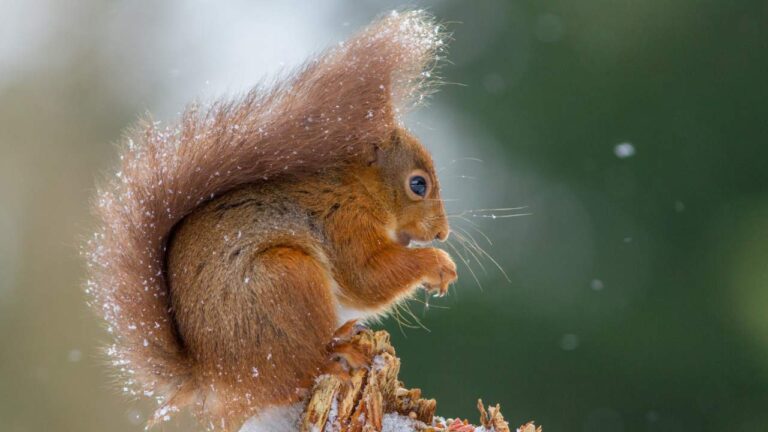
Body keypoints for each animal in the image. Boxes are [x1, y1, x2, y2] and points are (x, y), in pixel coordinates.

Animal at [85, 11, 456, 432]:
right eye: (417, 184)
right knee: (299, 371)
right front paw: (438, 264)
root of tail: (213, 379)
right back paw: (339, 352)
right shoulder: (344, 223)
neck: (357, 189)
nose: (442, 232)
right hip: (286, 278)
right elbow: (367, 278)